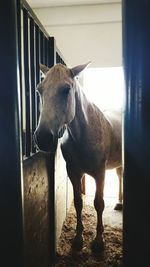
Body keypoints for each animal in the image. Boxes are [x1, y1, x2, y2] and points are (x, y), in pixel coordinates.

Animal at [33, 62, 122, 253]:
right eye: (39, 89)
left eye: (66, 89)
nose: (42, 138)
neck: (85, 135)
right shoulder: (73, 172)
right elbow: (78, 202)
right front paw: (78, 239)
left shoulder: (100, 174)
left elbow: (99, 203)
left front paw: (99, 241)